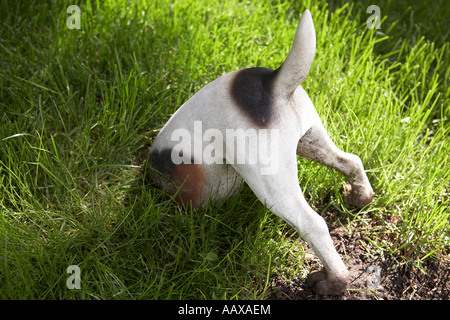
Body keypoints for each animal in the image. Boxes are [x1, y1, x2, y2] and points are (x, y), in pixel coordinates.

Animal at [147, 10, 372, 296]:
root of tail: (274, 83)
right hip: (311, 139)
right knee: (351, 161)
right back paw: (360, 196)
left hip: (269, 182)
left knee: (313, 224)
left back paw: (332, 282)